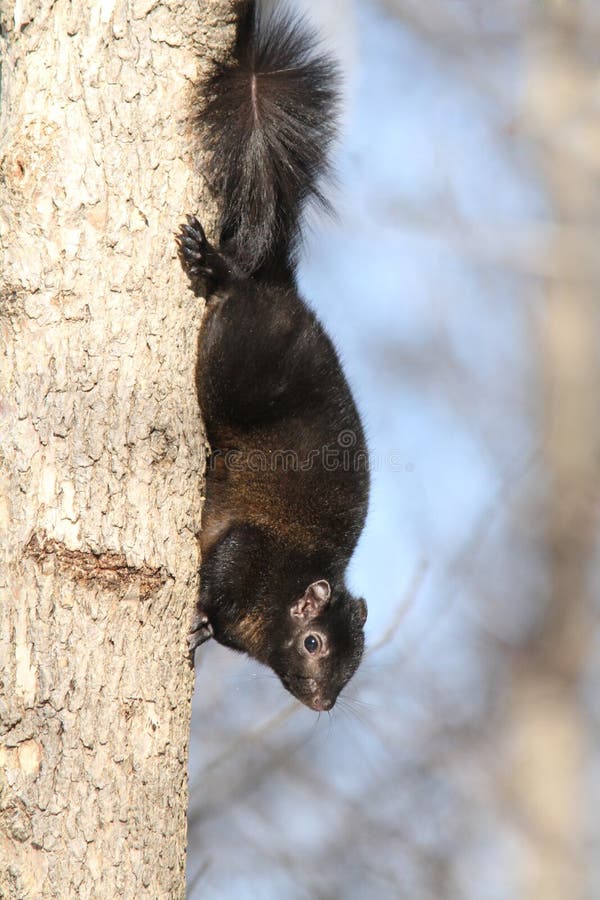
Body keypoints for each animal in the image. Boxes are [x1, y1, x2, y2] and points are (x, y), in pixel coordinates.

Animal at [176, 0, 368, 712]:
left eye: (355, 664)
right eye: (314, 644)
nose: (324, 703)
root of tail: (280, 287)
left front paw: (206, 630)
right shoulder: (251, 548)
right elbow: (219, 571)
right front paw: (201, 616)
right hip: (239, 362)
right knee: (235, 294)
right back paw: (217, 269)